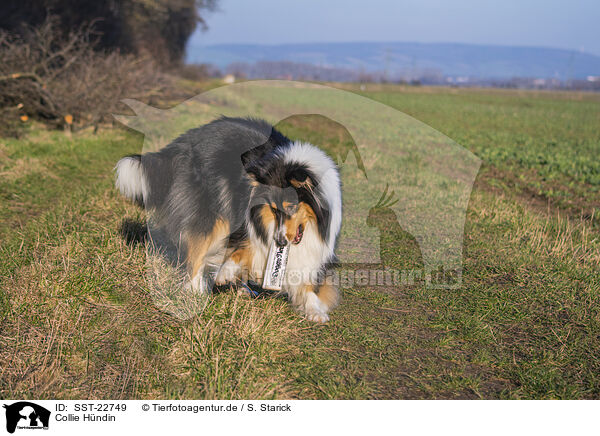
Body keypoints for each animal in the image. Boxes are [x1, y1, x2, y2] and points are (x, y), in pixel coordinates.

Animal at [116, 117, 342, 322]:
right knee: (197, 252)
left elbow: (309, 283)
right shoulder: (247, 221)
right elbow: (241, 249)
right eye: (274, 210)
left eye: (292, 207)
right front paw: (224, 273)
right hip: (213, 211)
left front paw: (315, 310)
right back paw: (196, 291)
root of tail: (184, 140)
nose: (279, 242)